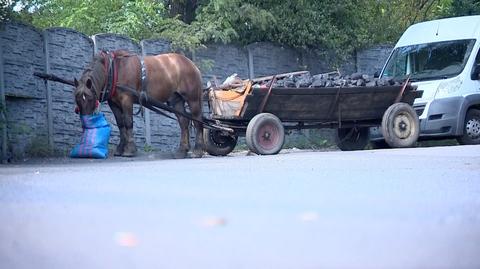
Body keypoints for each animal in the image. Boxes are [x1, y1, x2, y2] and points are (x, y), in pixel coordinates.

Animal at [73, 50, 204, 157]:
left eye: (90, 99)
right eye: (77, 99)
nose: (86, 122)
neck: (115, 69)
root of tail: (191, 64)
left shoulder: (126, 99)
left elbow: (128, 122)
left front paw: (130, 149)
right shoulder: (114, 104)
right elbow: (120, 124)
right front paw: (120, 148)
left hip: (193, 99)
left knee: (198, 121)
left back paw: (198, 150)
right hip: (176, 100)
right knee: (183, 122)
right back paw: (182, 150)